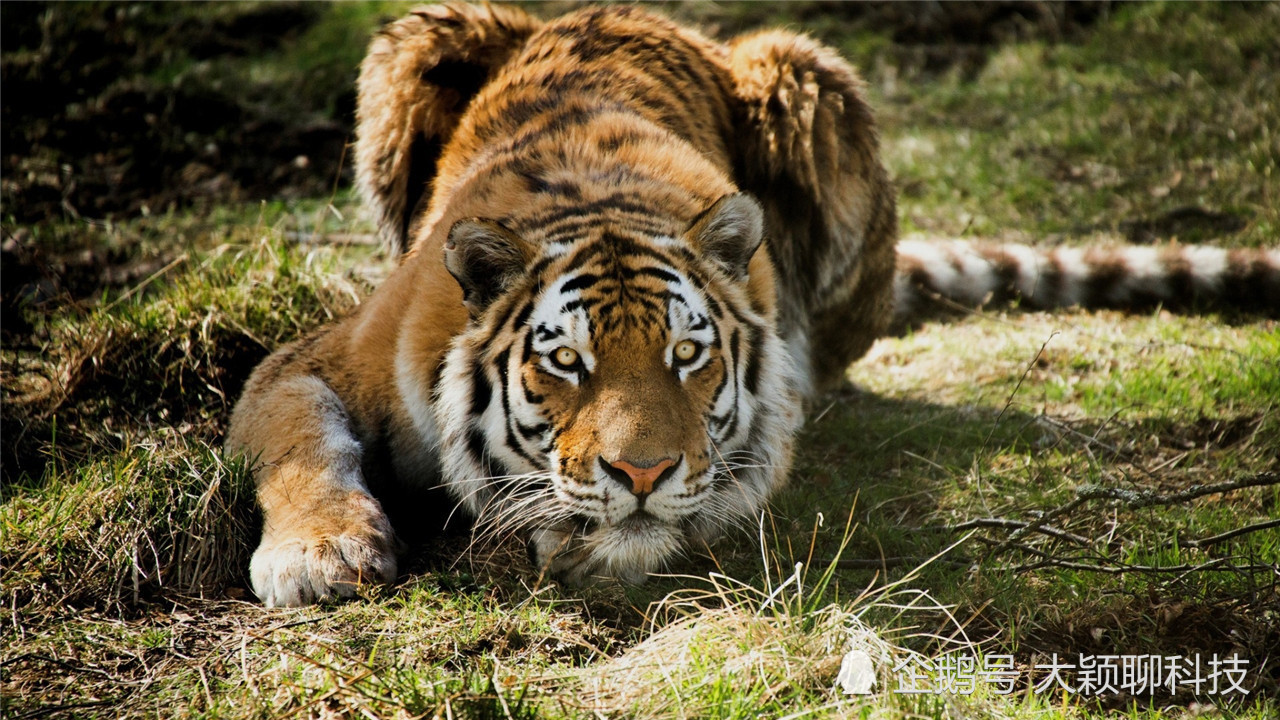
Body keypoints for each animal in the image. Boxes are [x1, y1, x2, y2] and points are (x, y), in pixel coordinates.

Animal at [227, 4, 1280, 604]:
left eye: (687, 357)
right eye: (565, 362)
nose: (641, 473)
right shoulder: (313, 360)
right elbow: (304, 441)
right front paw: (319, 555)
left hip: (809, 78)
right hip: (415, 38)